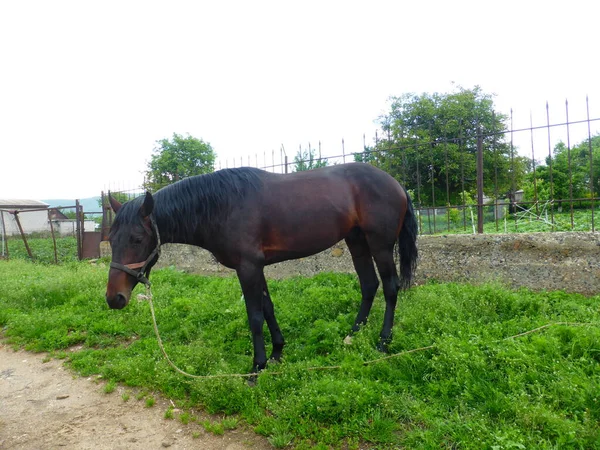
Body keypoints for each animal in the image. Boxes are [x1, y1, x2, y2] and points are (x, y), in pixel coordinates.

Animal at [105, 163, 418, 374]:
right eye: (111, 238)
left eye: (137, 239)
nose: (114, 298)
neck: (222, 206)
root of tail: (395, 183)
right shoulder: (258, 267)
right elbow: (268, 308)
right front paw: (278, 351)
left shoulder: (248, 268)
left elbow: (254, 316)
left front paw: (258, 366)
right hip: (356, 242)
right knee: (369, 284)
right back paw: (353, 335)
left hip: (380, 245)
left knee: (390, 288)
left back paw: (383, 341)